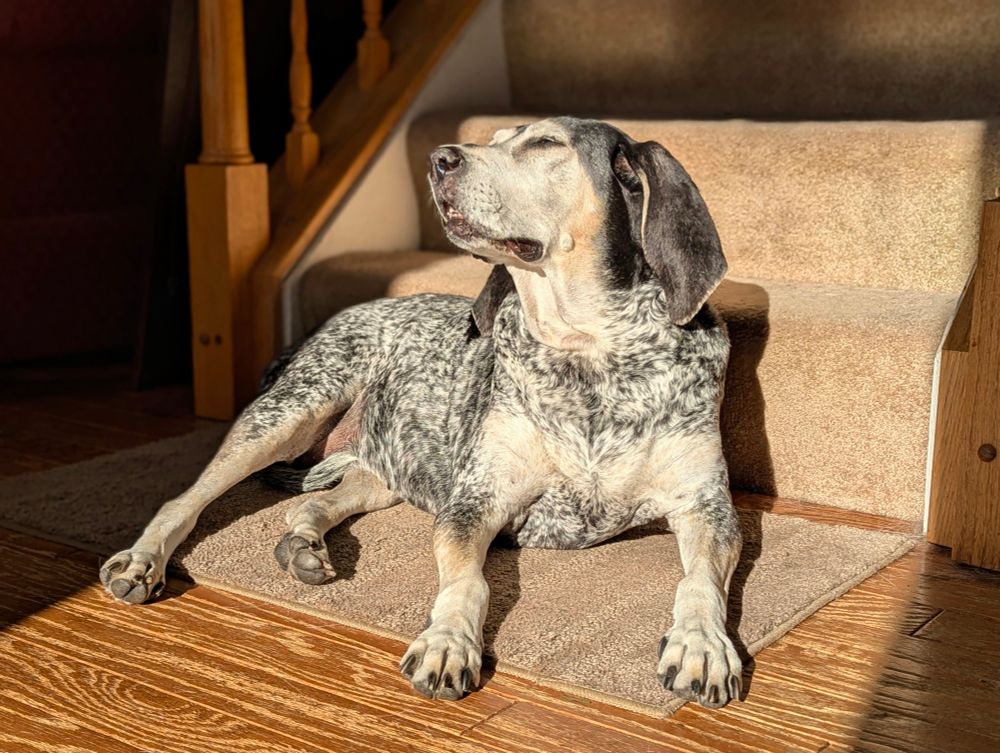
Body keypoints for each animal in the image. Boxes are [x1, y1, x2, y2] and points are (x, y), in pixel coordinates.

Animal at [100, 117, 743, 709]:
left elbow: (699, 581)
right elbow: (467, 584)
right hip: (287, 414)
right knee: (183, 500)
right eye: (497, 137)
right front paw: (448, 642)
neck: (590, 353)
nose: (439, 158)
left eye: (545, 143)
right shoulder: (474, 502)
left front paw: (702, 644)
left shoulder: (706, 507)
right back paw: (142, 561)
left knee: (314, 502)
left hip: (384, 473)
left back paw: (305, 546)